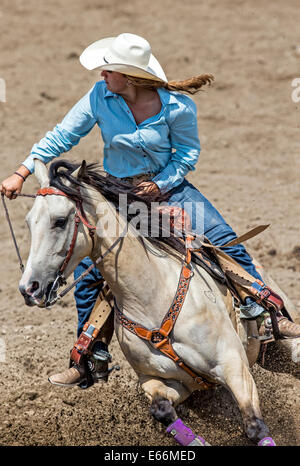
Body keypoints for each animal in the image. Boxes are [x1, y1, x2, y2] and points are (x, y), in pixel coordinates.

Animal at [19, 159, 300, 448]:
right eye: (29, 222)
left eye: (60, 221)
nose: (28, 287)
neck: (151, 297)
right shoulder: (163, 381)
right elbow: (161, 409)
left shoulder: (233, 364)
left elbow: (254, 426)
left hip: (284, 345)